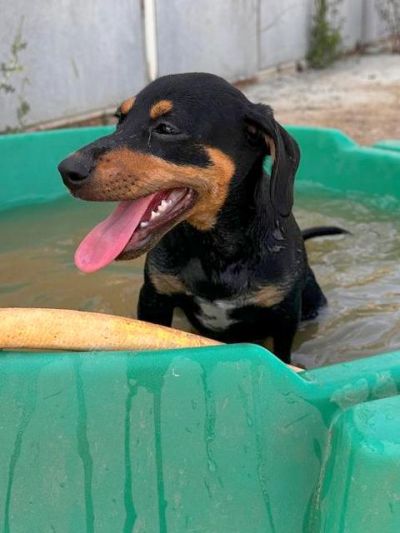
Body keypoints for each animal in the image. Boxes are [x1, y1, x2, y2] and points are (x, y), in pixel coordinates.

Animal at [58, 73, 346, 363]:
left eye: (166, 128)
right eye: (120, 118)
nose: (67, 170)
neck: (214, 249)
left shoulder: (284, 316)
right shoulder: (154, 298)